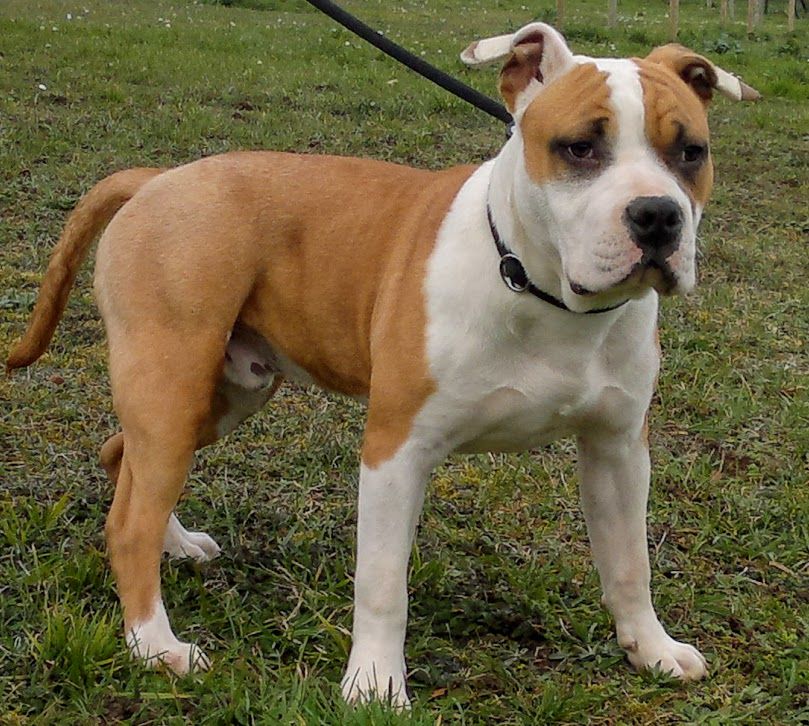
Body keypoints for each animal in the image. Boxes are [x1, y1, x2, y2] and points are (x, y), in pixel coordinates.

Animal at [7, 22, 759, 707]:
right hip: (172, 383)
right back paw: (155, 645)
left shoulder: (617, 448)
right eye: (579, 147)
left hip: (218, 394)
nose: (657, 216)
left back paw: (178, 545)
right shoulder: (397, 450)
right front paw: (373, 684)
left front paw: (651, 649)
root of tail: (157, 179)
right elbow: (382, 585)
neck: (541, 292)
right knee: (128, 518)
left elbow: (630, 562)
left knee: (123, 460)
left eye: (691, 152)